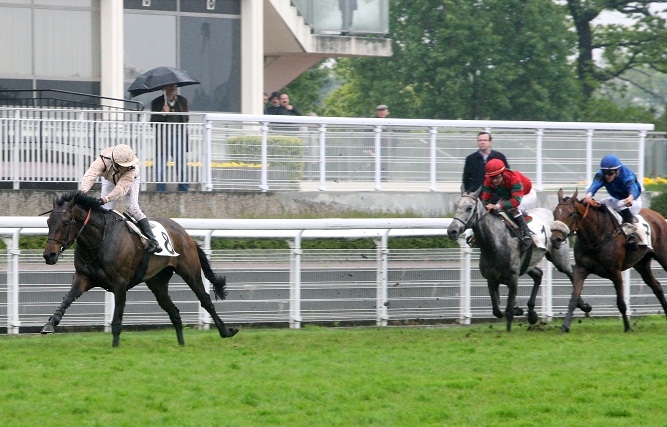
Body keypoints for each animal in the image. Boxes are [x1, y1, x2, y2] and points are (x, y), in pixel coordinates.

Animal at [41, 192, 240, 346]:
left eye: (66, 222)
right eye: (49, 222)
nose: (49, 255)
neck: (100, 241)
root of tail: (185, 232)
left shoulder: (120, 284)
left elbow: (117, 318)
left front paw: (115, 346)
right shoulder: (83, 278)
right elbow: (67, 299)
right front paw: (50, 324)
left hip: (190, 271)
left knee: (205, 299)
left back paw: (226, 331)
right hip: (157, 282)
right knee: (173, 311)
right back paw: (181, 343)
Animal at [446, 189, 592, 332]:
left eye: (469, 208)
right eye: (456, 206)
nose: (452, 231)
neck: (496, 243)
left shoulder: (513, 278)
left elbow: (508, 309)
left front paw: (510, 327)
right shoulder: (491, 279)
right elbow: (497, 310)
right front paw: (520, 310)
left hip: (559, 258)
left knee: (571, 273)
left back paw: (584, 305)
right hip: (529, 264)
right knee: (539, 274)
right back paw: (532, 313)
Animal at [552, 189, 667, 332]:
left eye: (571, 214)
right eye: (555, 213)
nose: (555, 239)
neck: (596, 237)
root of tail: (659, 216)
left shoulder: (615, 272)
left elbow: (621, 303)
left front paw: (628, 328)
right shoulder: (581, 269)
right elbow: (573, 298)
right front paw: (564, 327)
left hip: (663, 256)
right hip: (642, 264)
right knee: (657, 287)